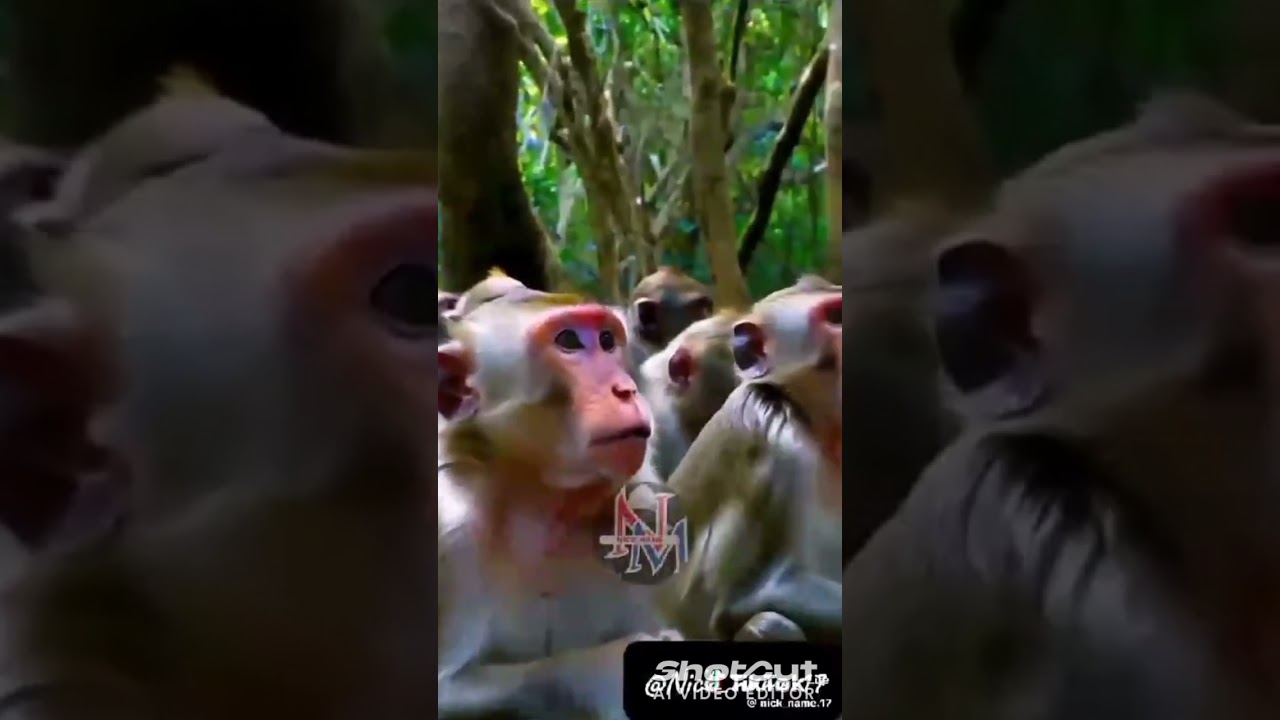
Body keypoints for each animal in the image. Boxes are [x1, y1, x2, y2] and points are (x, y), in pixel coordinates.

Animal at [437, 287, 684, 719]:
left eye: (607, 341)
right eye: (568, 341)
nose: (627, 390)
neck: (546, 500)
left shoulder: (649, 514)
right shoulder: (449, 531)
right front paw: (607, 669)